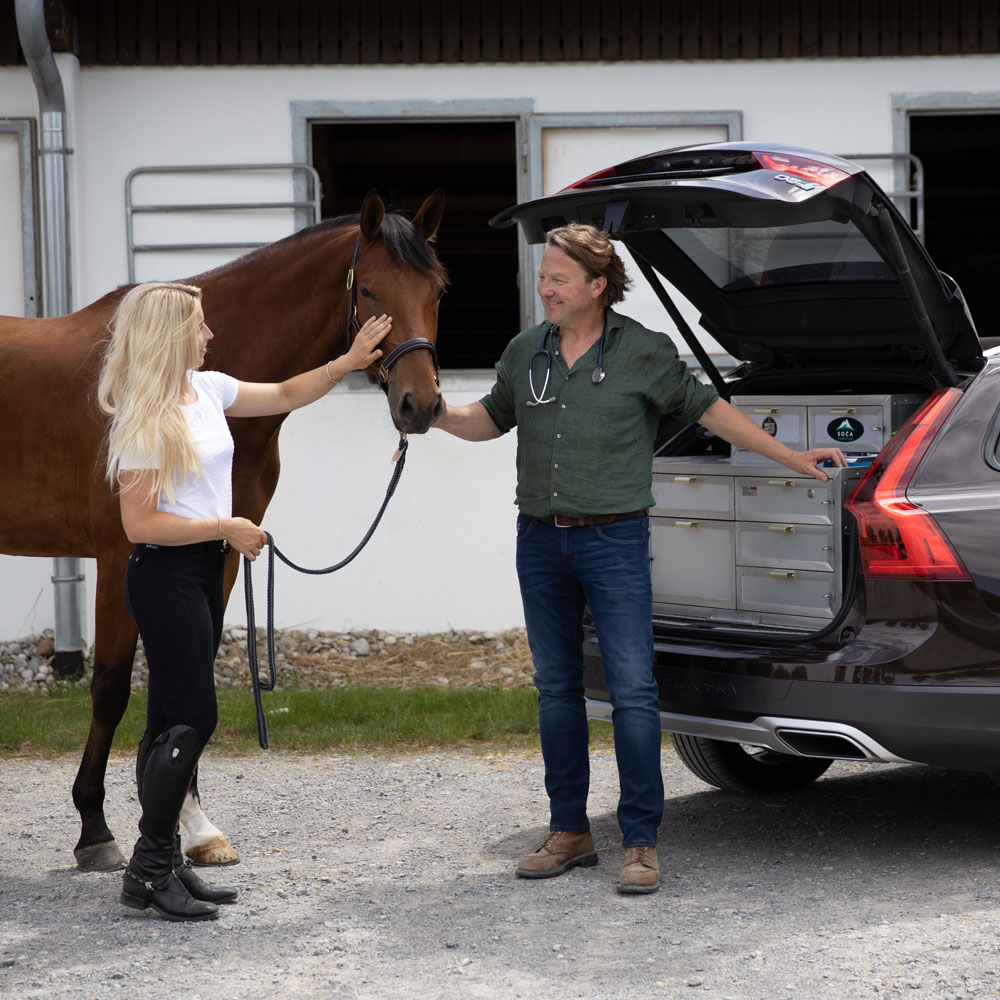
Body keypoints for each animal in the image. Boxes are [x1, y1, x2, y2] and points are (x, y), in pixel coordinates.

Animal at [0, 191, 446, 872]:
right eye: (369, 290)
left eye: (438, 290)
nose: (419, 406)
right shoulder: (121, 555)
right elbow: (111, 688)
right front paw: (94, 828)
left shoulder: (227, 550)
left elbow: (187, 680)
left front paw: (193, 826)